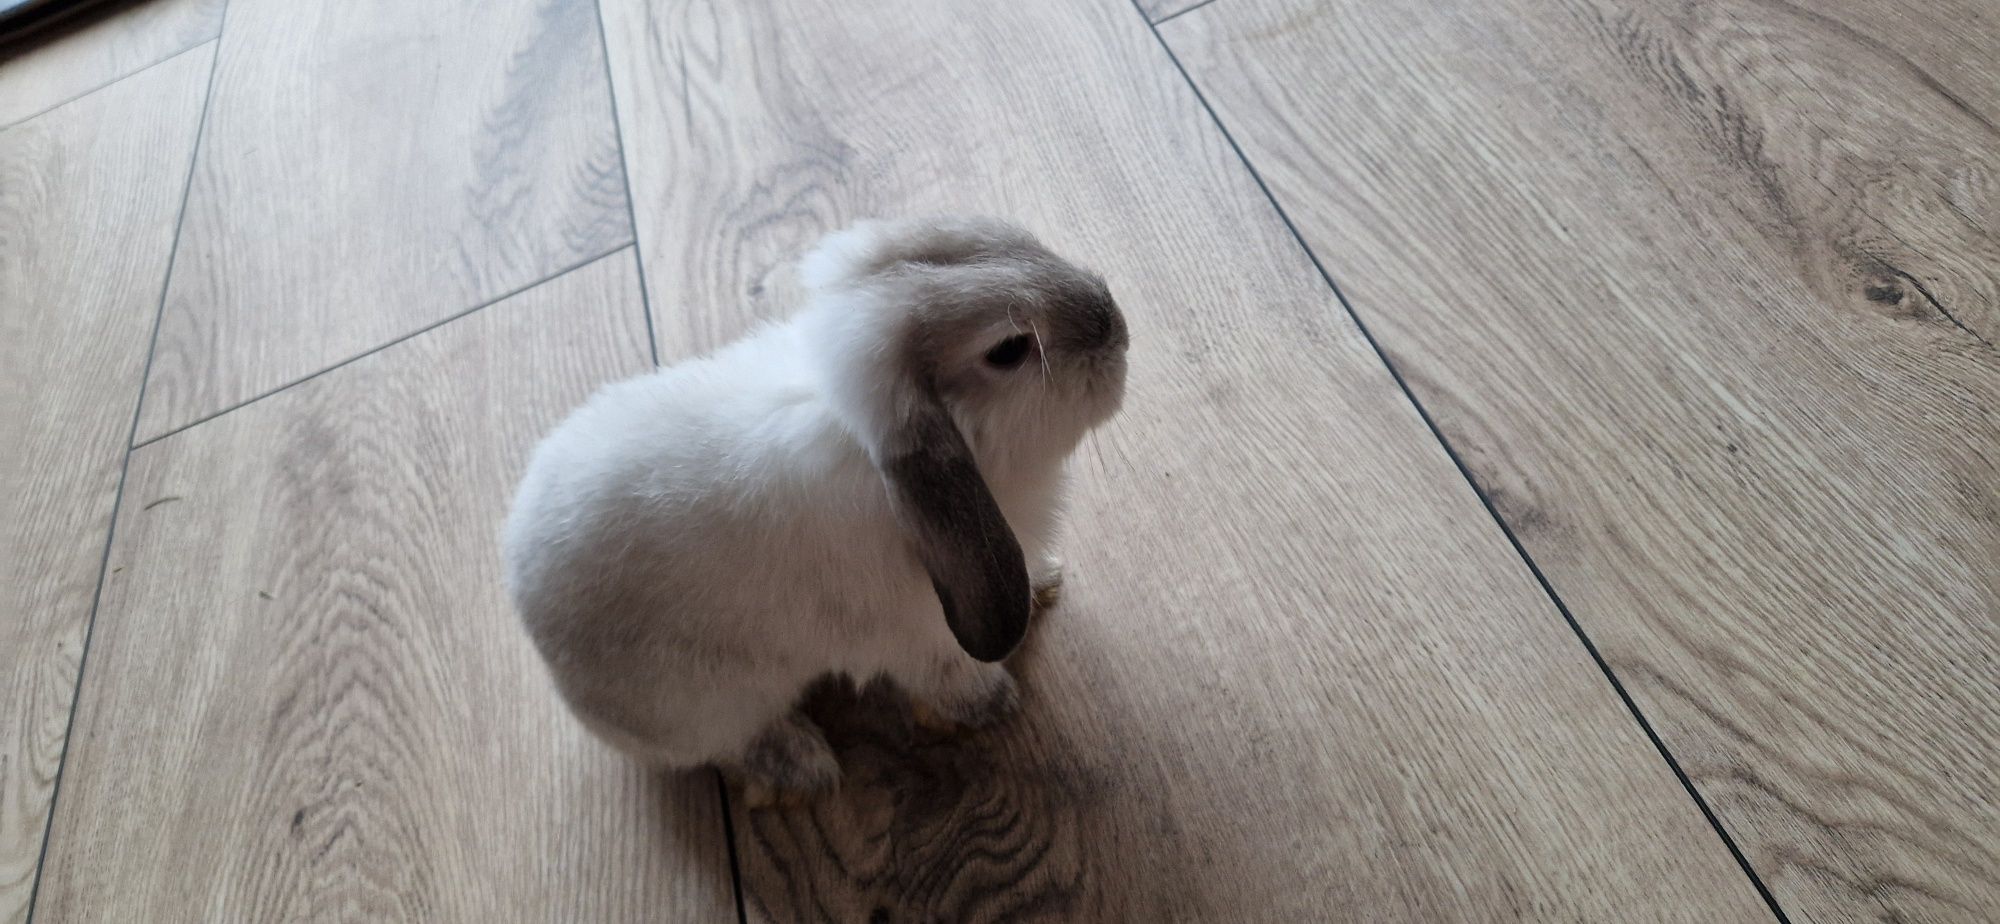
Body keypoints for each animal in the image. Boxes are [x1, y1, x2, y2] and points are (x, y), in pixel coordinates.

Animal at [500, 217, 1128, 800]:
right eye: (1009, 350)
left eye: (1016, 238)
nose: (1118, 328)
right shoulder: (914, 634)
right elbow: (950, 675)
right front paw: (996, 703)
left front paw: (1043, 583)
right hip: (709, 702)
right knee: (733, 744)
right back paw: (803, 768)